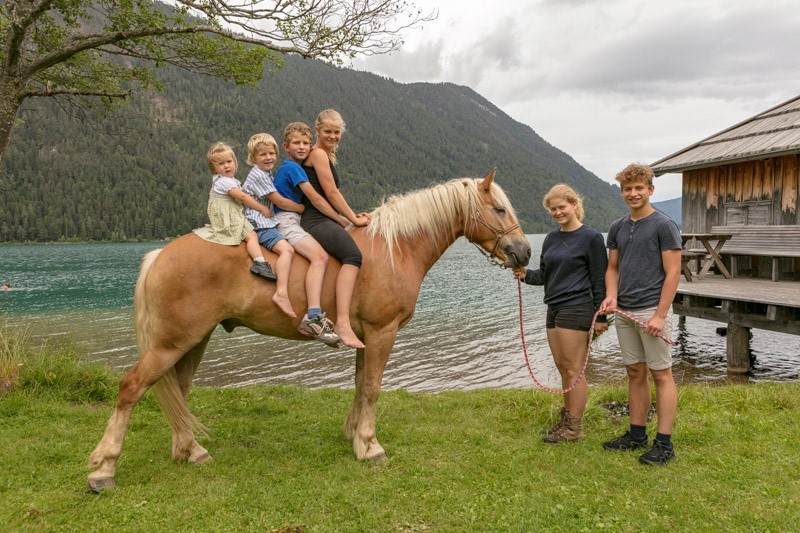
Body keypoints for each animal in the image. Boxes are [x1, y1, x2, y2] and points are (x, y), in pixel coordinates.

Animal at [87, 169, 531, 491]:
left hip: (193, 340)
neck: (394, 248)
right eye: (499, 209)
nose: (524, 252)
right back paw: (103, 468)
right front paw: (371, 446)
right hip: (172, 342)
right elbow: (373, 388)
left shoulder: (364, 337)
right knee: (132, 387)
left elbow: (359, 385)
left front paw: (355, 436)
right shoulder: (382, 332)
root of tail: (161, 253)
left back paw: (190, 450)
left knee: (176, 392)